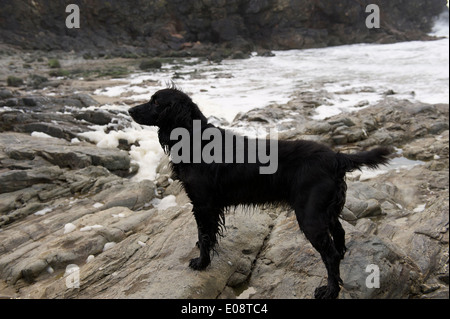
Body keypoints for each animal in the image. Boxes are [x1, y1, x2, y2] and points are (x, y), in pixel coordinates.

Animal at [127, 88, 390, 300]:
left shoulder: (203, 203)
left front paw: (202, 262)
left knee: (331, 255)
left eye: (156, 102)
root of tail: (336, 157)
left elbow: (205, 235)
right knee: (340, 236)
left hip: (310, 216)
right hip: (326, 210)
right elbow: (206, 235)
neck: (196, 140)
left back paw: (330, 291)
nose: (129, 110)